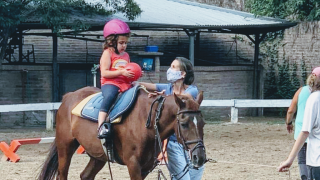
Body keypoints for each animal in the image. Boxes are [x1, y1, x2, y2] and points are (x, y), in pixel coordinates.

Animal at [37, 86, 206, 180]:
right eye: (184, 124)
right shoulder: (133, 164)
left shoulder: (145, 167)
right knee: (62, 175)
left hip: (98, 156)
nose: (199, 157)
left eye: (203, 123)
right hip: (65, 148)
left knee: (86, 175)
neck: (148, 123)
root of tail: (68, 97)